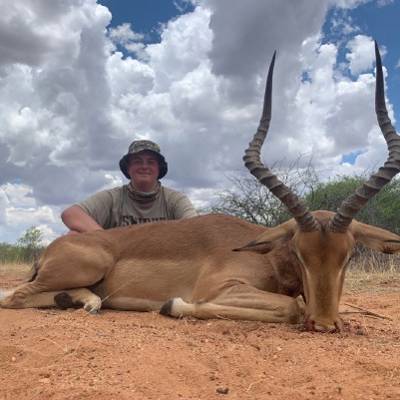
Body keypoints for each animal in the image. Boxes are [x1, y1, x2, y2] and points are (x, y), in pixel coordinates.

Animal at [1, 42, 400, 332]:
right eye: (300, 252)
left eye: (348, 255)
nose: (326, 324)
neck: (266, 255)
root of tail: (51, 249)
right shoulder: (220, 288)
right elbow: (291, 306)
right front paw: (173, 304)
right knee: (13, 296)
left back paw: (80, 301)